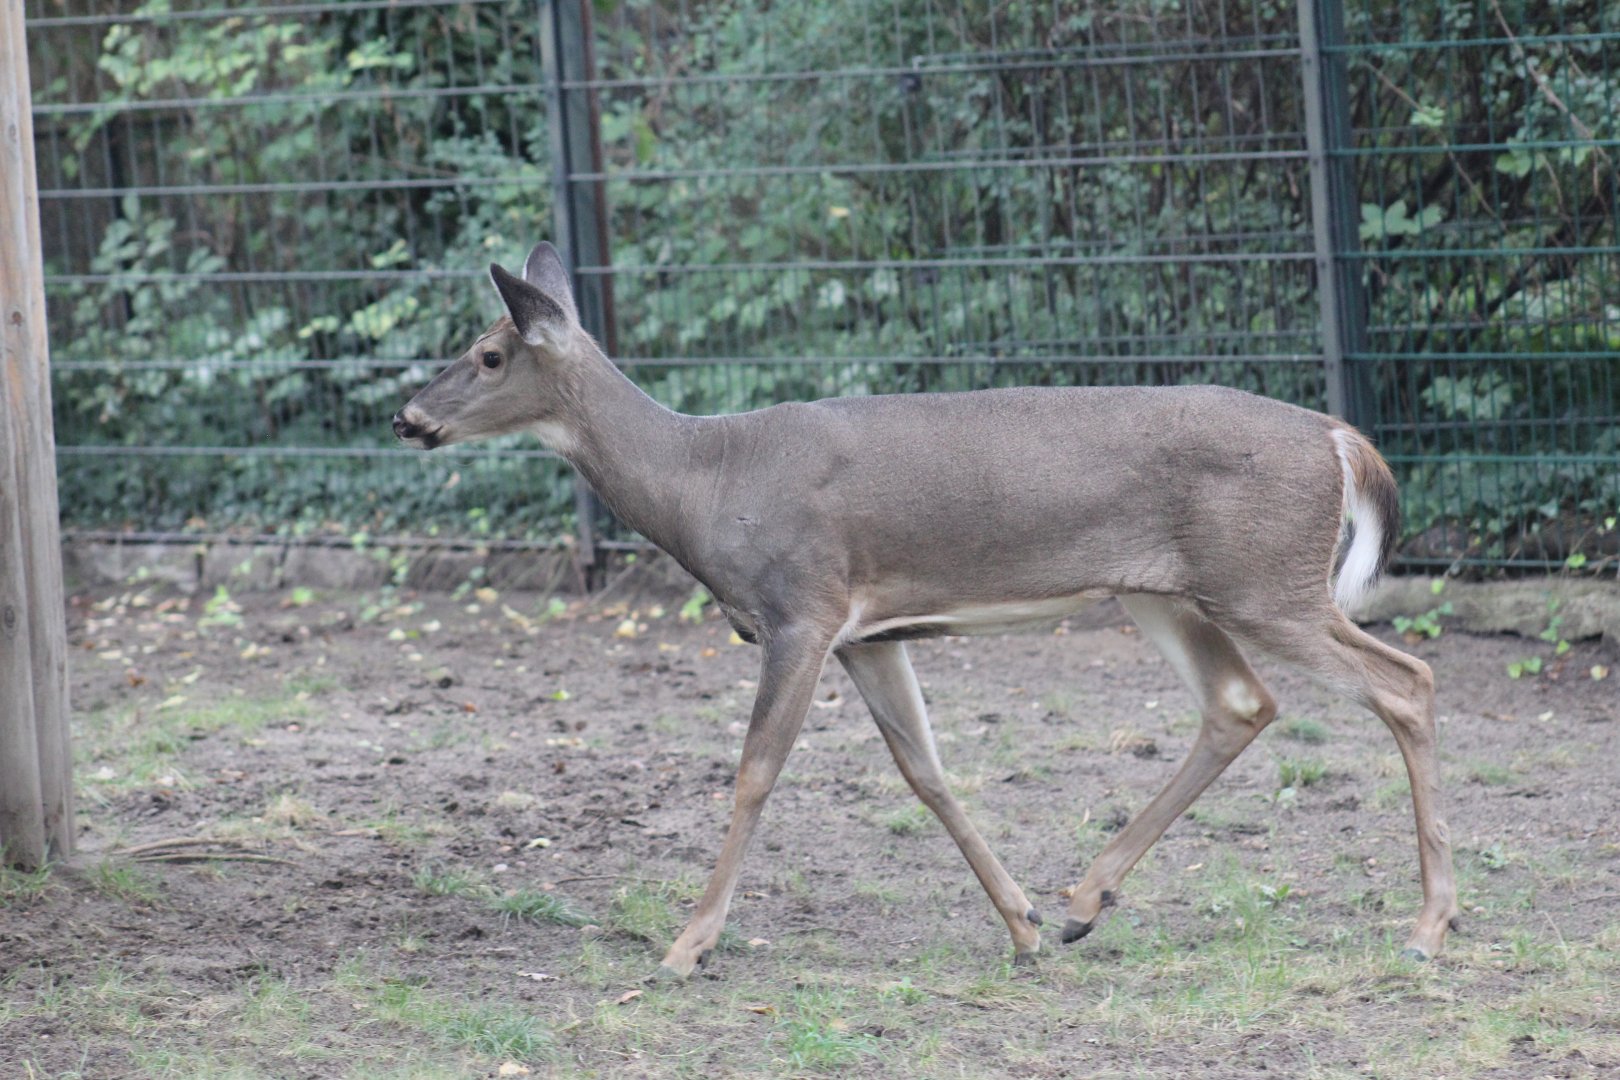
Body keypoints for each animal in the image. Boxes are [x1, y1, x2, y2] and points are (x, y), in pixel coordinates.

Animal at [393, 241, 1459, 980]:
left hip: (1265, 580)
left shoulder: (800, 607)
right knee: (1242, 703)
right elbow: (927, 773)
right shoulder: (868, 635)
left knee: (1405, 679)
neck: (704, 484)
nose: (408, 418)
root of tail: (1339, 437)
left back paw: (1427, 925)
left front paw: (687, 946)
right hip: (1166, 590)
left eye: (488, 353)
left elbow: (754, 774)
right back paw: (1082, 899)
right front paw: (1022, 927)